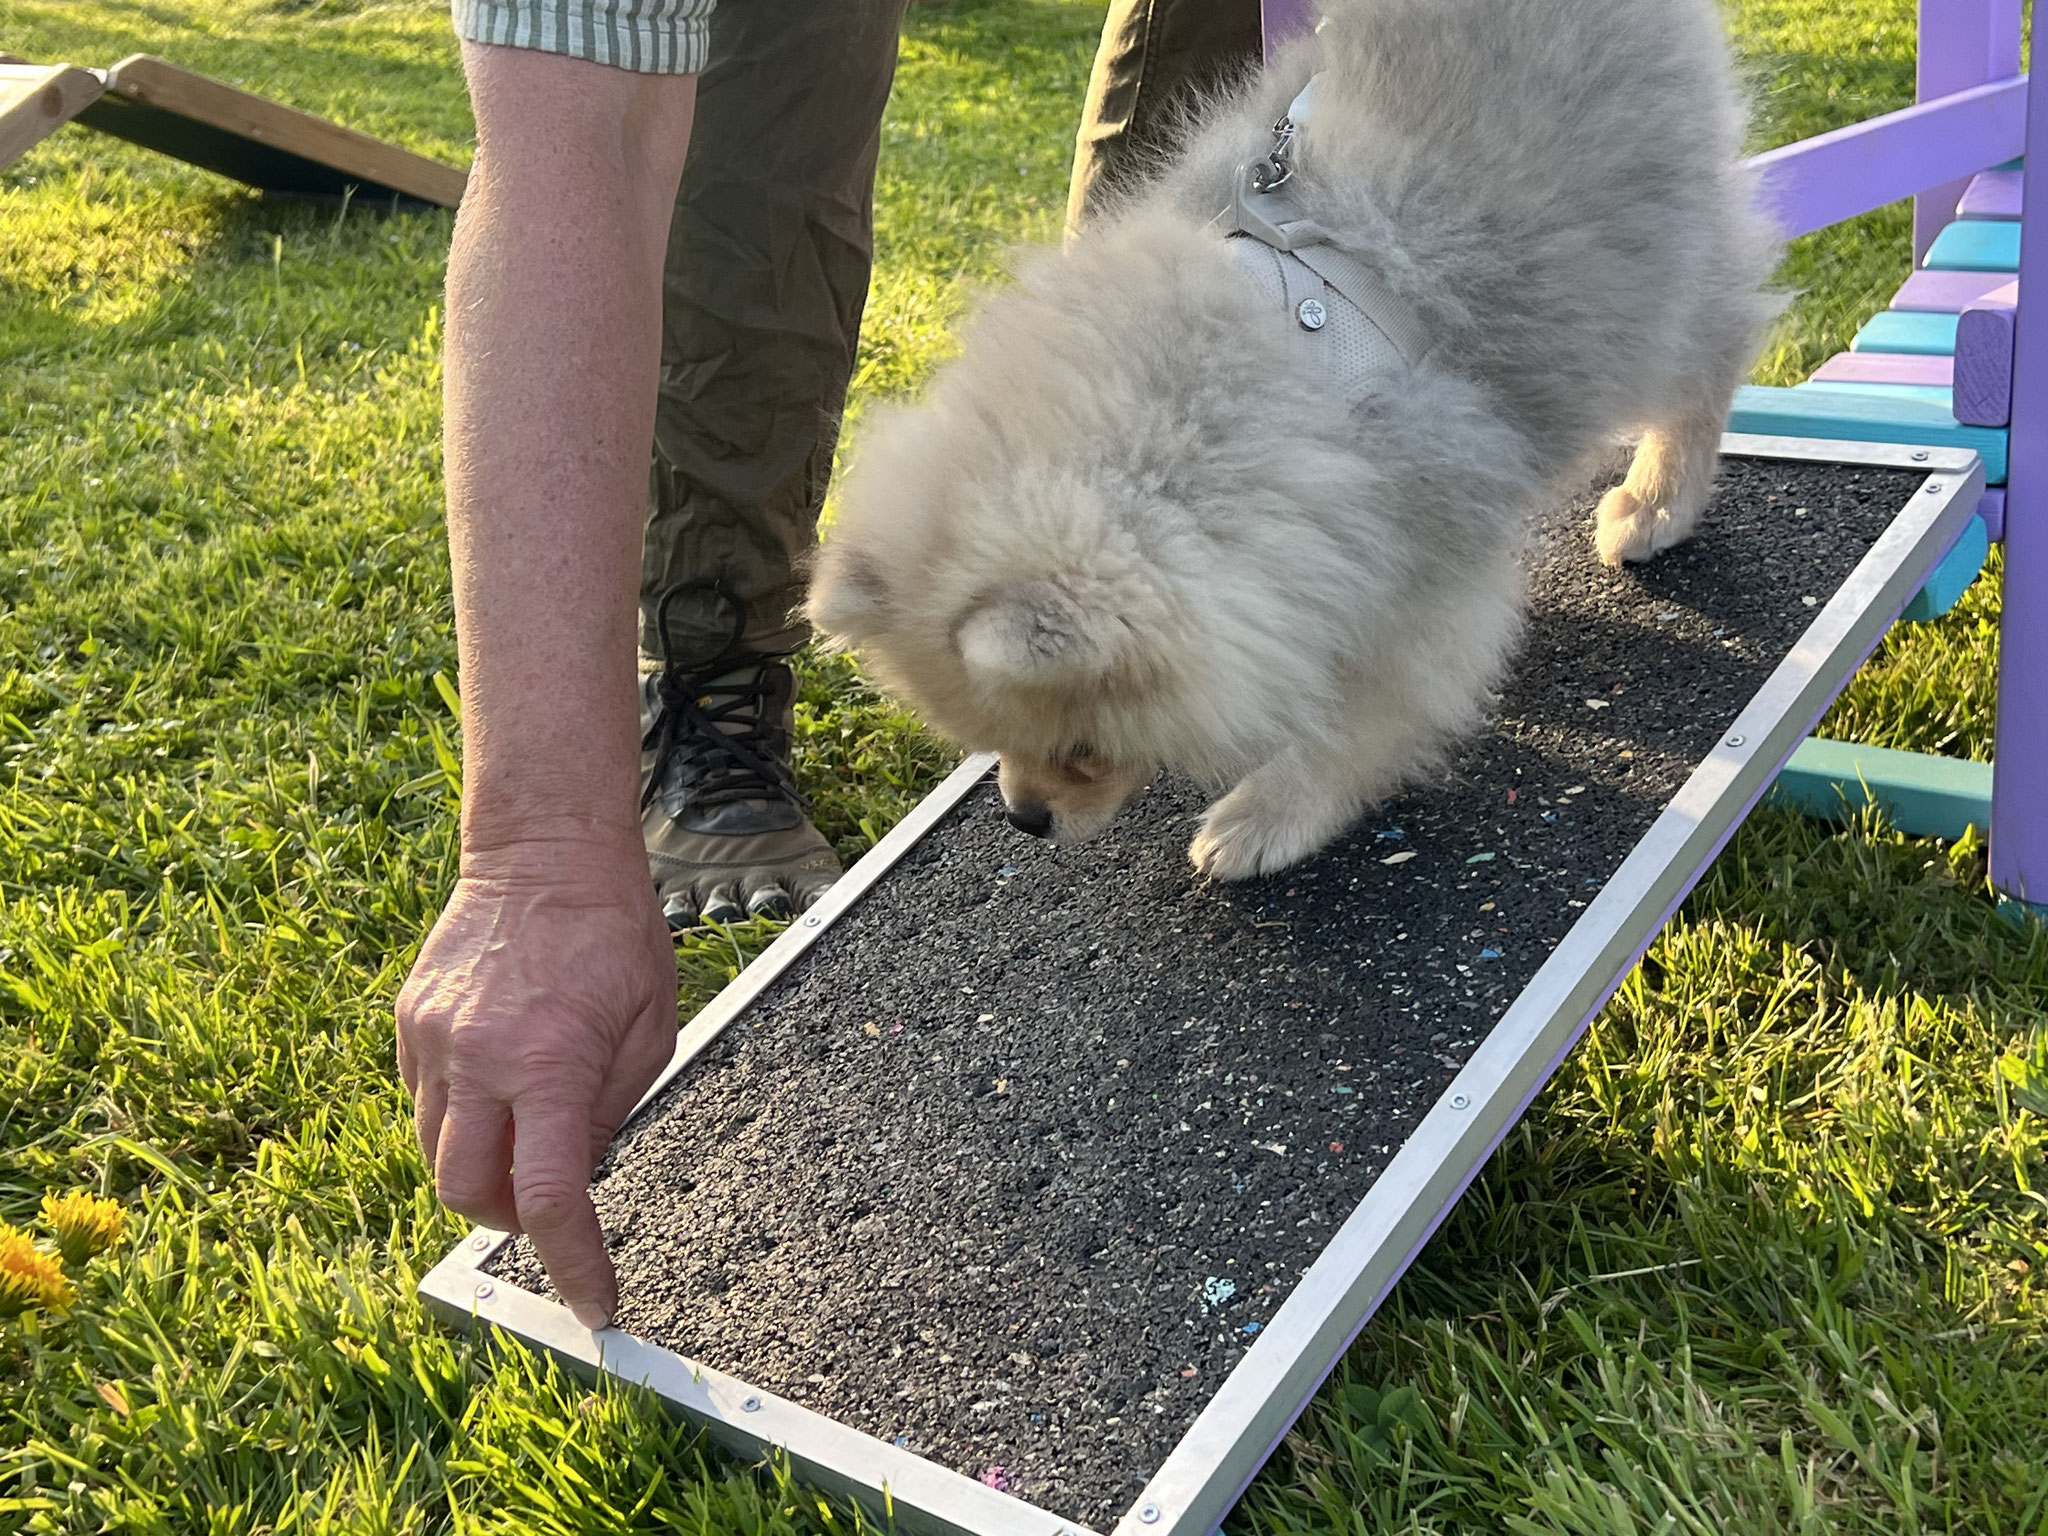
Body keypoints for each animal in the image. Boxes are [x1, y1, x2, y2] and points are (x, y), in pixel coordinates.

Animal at [808, 0, 1779, 881]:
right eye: (985, 740)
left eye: (1082, 745)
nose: (1025, 818)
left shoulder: (1415, 562)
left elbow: (1369, 714)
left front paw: (1273, 814)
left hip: (1633, 273)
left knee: (1715, 344)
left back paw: (1656, 500)